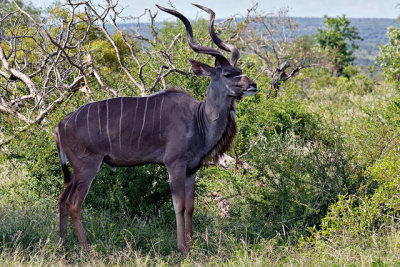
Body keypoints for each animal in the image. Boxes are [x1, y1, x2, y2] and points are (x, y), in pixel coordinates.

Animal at [54, 3, 258, 252]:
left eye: (240, 71)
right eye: (229, 74)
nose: (253, 85)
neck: (199, 118)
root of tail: (61, 124)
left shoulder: (192, 169)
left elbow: (191, 207)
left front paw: (192, 245)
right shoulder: (174, 165)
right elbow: (179, 206)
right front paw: (182, 248)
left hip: (76, 171)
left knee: (62, 198)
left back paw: (63, 245)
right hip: (87, 167)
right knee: (73, 203)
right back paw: (87, 249)